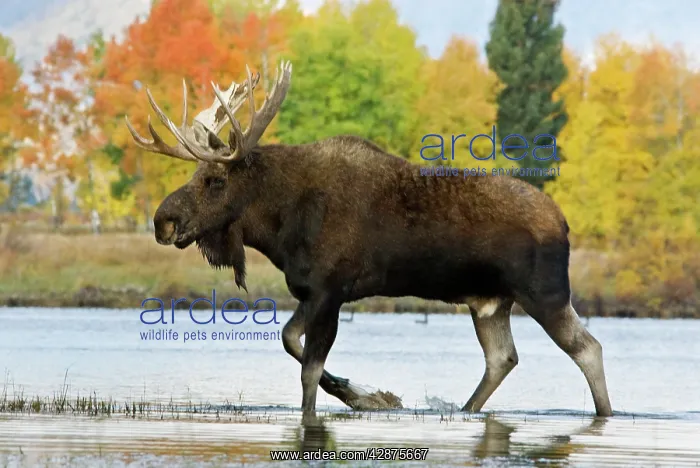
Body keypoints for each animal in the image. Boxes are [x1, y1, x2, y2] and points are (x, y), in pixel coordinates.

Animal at [125, 60, 613, 424]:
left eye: (215, 179)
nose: (163, 221)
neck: (279, 225)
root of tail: (564, 223)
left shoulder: (330, 290)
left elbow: (308, 371)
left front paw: (351, 399)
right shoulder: (311, 291)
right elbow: (289, 339)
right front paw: (367, 395)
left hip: (544, 292)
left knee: (587, 348)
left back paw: (604, 413)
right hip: (490, 302)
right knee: (502, 358)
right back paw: (464, 409)